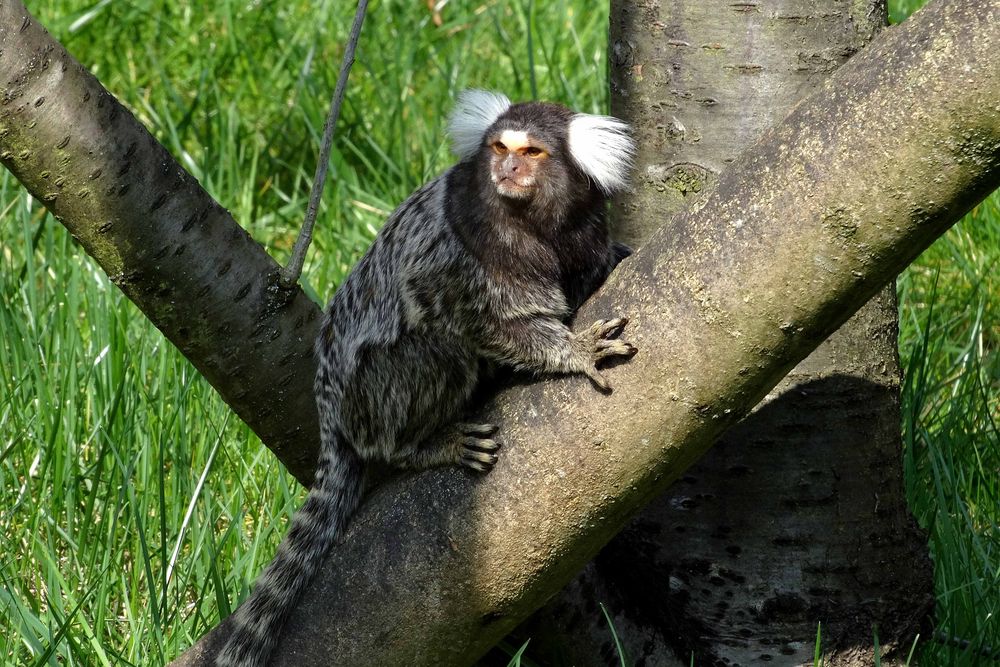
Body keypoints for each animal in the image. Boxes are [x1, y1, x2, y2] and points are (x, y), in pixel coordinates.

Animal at [220, 90, 640, 667]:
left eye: (531, 152)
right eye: (499, 148)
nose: (507, 170)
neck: (535, 224)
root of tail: (331, 412)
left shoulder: (584, 231)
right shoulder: (468, 252)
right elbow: (491, 323)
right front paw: (575, 351)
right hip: (374, 395)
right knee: (440, 352)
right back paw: (425, 445)